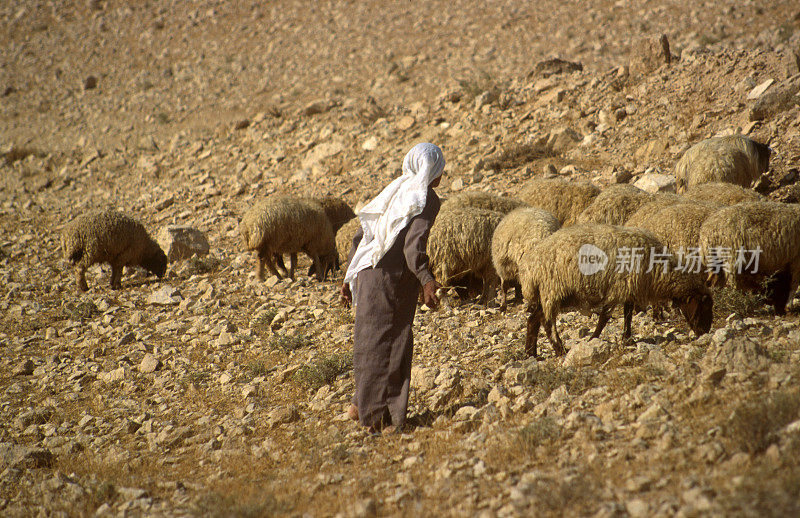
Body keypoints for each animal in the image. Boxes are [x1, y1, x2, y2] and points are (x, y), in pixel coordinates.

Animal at [520, 225, 712, 360]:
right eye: (703, 305)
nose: (705, 332)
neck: (657, 269)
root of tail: (530, 266)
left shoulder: (628, 289)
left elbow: (627, 314)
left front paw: (626, 338)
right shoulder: (618, 288)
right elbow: (605, 318)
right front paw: (593, 339)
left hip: (546, 293)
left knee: (533, 320)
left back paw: (531, 353)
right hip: (552, 289)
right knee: (547, 322)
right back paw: (560, 349)